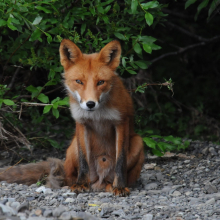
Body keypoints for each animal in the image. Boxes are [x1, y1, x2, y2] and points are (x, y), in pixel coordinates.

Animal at [0, 39, 144, 196]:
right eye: (79, 81)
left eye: (101, 82)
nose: (90, 104)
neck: (98, 115)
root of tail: (99, 181)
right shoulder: (81, 123)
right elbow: (83, 161)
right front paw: (80, 184)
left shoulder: (121, 122)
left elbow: (120, 161)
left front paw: (120, 186)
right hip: (73, 146)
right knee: (69, 178)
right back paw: (79, 183)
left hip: (138, 141)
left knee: (111, 178)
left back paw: (111, 185)